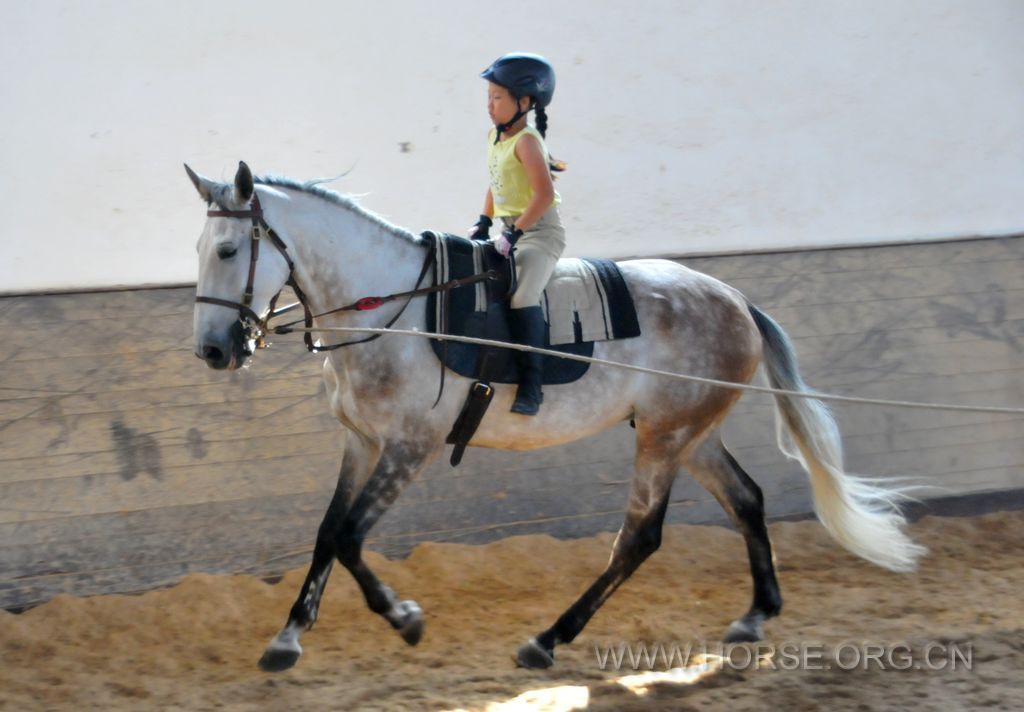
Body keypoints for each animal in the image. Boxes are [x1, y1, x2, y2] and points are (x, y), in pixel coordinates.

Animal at [188, 162, 925, 672]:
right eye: (200, 250)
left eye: (228, 251)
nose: (214, 350)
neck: (388, 306)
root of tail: (736, 300)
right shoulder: (362, 443)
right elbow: (325, 534)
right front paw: (287, 636)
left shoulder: (408, 446)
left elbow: (347, 539)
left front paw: (404, 618)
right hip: (691, 435)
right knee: (746, 500)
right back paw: (755, 616)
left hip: (665, 438)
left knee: (639, 538)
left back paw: (548, 639)